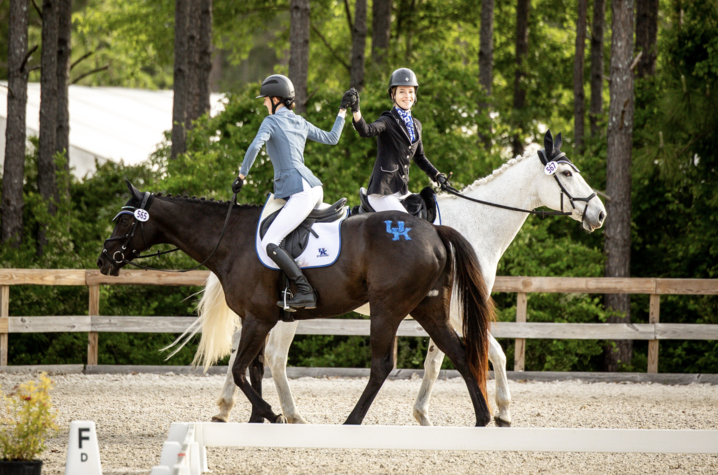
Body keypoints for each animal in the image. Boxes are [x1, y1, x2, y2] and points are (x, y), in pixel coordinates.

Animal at [97, 180, 497, 426]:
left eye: (124, 222)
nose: (103, 260)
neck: (232, 239)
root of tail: (432, 230)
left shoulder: (258, 319)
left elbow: (240, 369)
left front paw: (270, 415)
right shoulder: (258, 320)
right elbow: (254, 369)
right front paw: (256, 419)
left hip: (387, 310)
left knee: (382, 365)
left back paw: (351, 420)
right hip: (428, 309)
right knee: (460, 353)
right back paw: (483, 419)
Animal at [185, 131, 607, 427]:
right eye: (567, 173)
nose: (599, 214)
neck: (474, 222)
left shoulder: (441, 307)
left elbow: (440, 359)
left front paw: (427, 413)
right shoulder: (458, 308)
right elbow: (492, 353)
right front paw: (500, 411)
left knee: (244, 351)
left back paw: (228, 409)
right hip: (288, 315)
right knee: (274, 357)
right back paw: (288, 414)